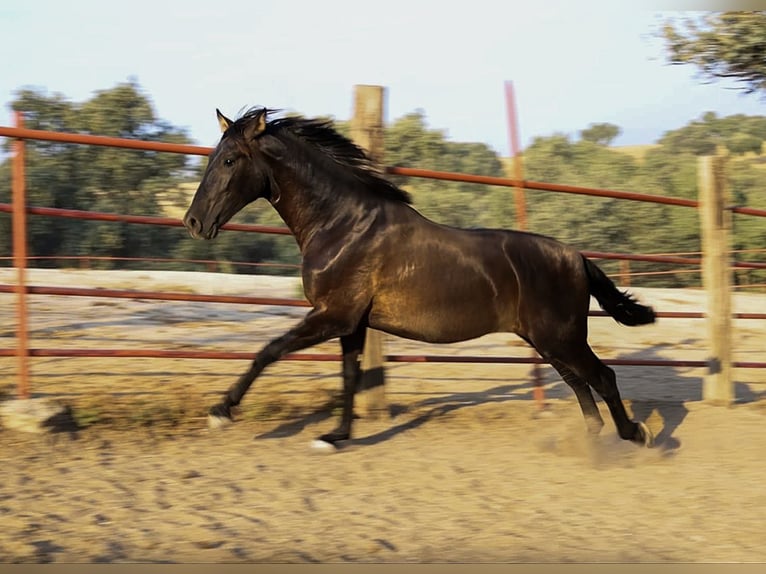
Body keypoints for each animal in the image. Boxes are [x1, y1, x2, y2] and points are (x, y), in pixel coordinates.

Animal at [183, 107, 656, 450]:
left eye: (229, 159)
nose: (193, 222)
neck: (343, 225)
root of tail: (577, 258)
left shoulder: (332, 315)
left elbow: (269, 350)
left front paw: (220, 411)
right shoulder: (351, 324)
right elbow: (349, 377)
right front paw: (335, 437)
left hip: (562, 336)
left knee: (602, 378)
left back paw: (635, 436)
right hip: (547, 340)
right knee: (579, 382)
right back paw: (592, 440)